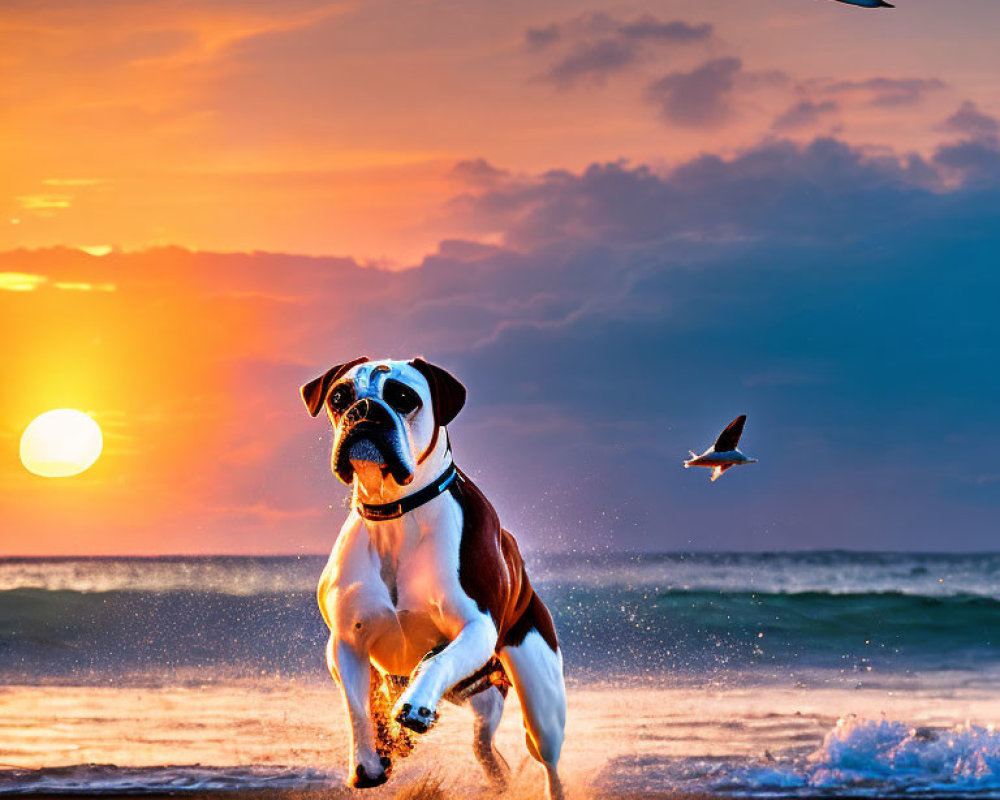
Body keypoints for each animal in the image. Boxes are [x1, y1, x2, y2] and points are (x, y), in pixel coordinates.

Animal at [300, 358, 568, 800]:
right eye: (339, 397)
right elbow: (358, 709)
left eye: (403, 397)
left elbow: (438, 659)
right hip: (481, 699)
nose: (365, 411)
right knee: (483, 744)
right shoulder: (346, 643)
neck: (395, 513)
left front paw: (415, 706)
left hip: (541, 707)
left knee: (548, 762)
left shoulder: (476, 626)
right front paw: (369, 761)